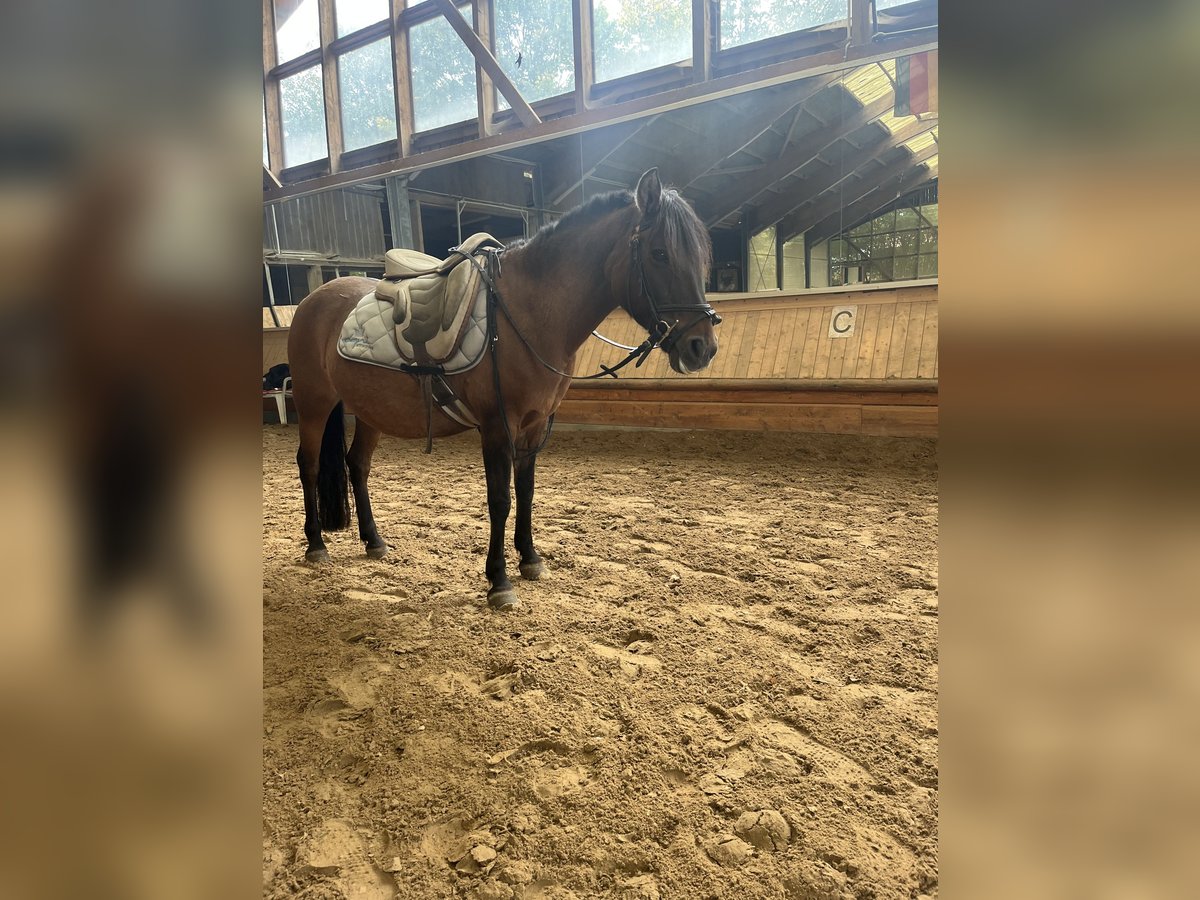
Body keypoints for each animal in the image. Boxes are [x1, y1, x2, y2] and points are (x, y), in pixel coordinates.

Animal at [286, 168, 720, 610]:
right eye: (659, 253)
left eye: (702, 255)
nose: (702, 347)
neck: (529, 314)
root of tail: (313, 299)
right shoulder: (498, 425)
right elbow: (501, 500)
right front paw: (499, 581)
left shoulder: (533, 426)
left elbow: (526, 493)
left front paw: (530, 559)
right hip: (313, 402)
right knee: (309, 464)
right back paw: (316, 545)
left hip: (369, 409)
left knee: (357, 465)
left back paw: (374, 541)